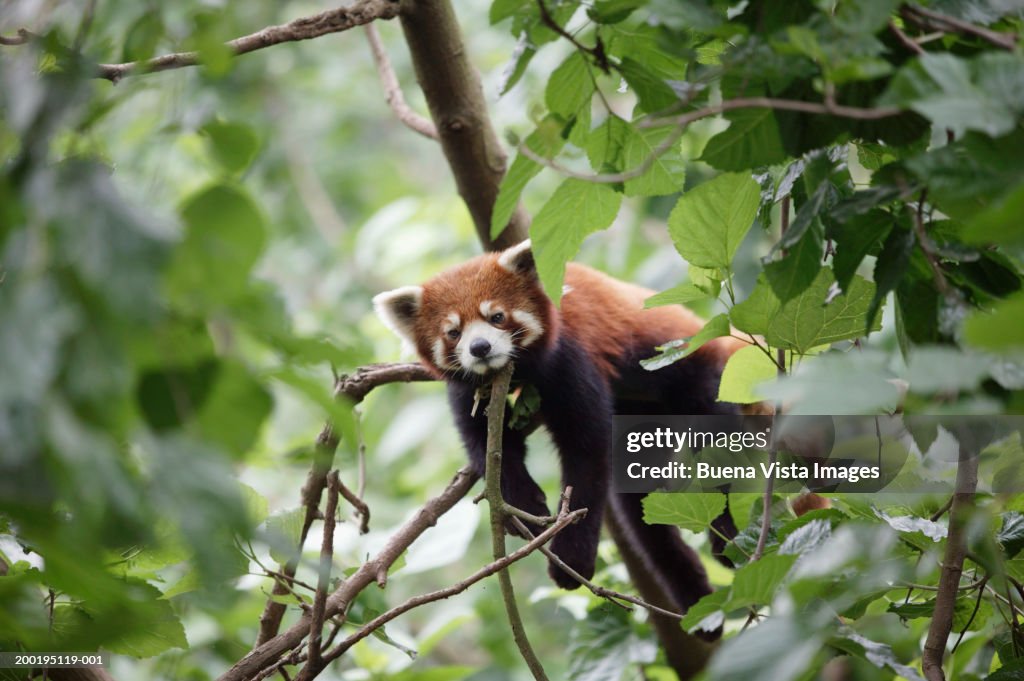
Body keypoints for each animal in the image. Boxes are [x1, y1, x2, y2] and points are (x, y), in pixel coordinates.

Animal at [374, 240, 745, 614]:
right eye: (453, 332)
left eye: (497, 317)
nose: (480, 348)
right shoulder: (472, 391)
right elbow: (489, 447)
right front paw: (524, 507)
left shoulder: (569, 358)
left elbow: (586, 451)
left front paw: (572, 559)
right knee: (643, 508)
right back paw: (695, 601)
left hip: (694, 371)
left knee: (717, 450)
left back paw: (728, 538)